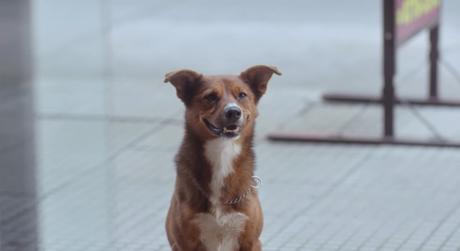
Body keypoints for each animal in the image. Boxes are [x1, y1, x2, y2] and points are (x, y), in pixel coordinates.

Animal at [165, 65, 280, 251]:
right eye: (210, 96)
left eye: (242, 95)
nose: (233, 112)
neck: (222, 153)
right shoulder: (184, 242)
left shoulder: (251, 241)